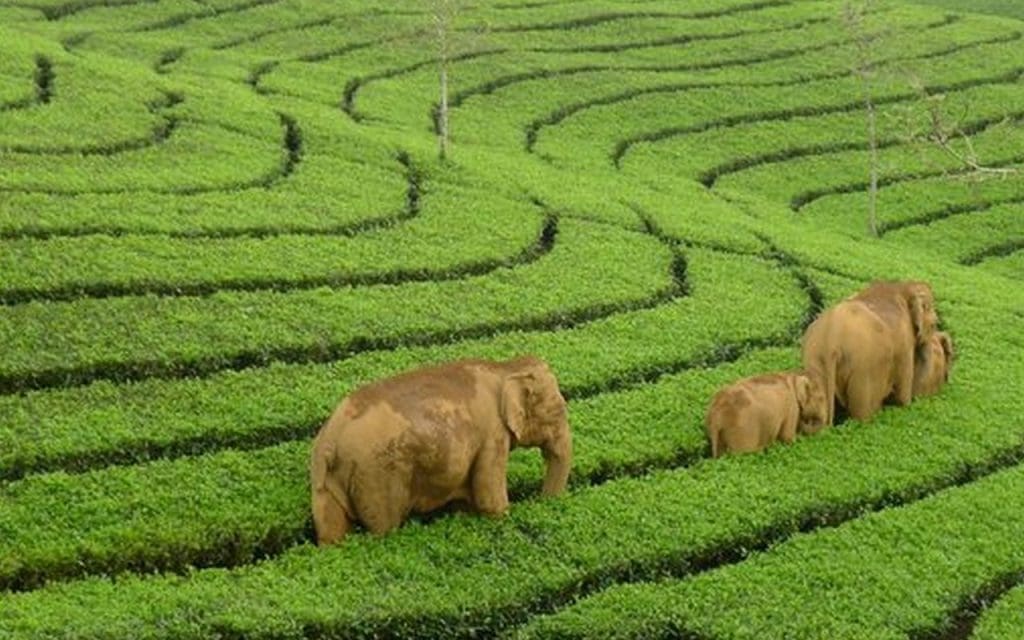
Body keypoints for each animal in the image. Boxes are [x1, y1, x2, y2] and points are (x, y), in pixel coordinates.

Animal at [307, 354, 573, 544]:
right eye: (558, 410)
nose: (544, 504)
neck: (506, 367)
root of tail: (330, 441)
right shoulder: (492, 434)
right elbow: (489, 497)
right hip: (377, 474)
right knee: (384, 526)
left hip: (325, 481)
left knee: (330, 531)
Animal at [802, 278, 937, 423]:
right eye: (934, 324)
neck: (902, 286)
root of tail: (831, 343)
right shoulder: (905, 342)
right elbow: (902, 391)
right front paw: (904, 405)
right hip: (864, 371)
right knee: (863, 413)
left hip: (815, 362)